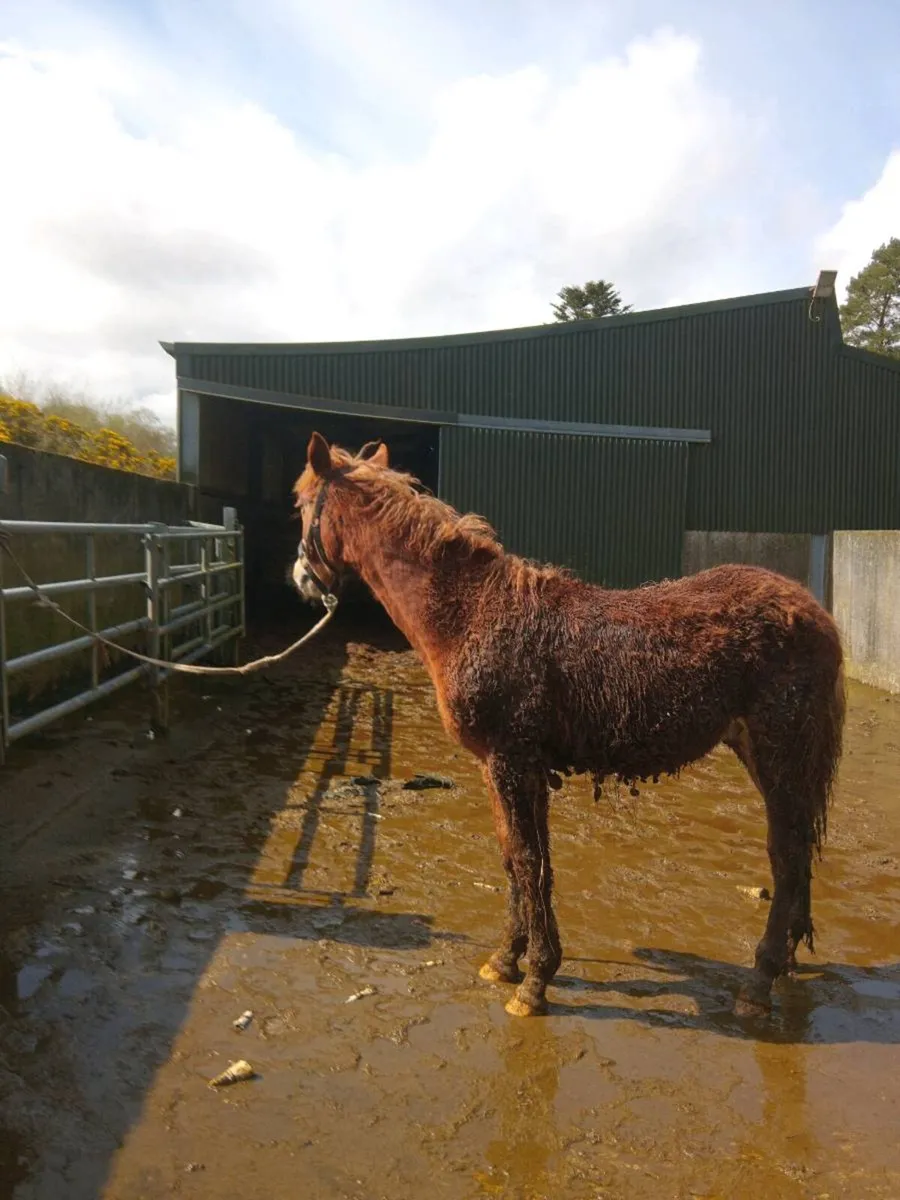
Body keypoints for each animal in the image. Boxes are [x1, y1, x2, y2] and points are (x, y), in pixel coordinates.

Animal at [291, 432, 845, 1019]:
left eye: (300, 504)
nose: (300, 578)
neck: (472, 614)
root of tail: (814, 611)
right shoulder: (512, 769)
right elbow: (519, 861)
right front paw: (507, 961)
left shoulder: (510, 763)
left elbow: (527, 859)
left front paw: (535, 981)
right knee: (798, 853)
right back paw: (787, 963)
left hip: (781, 751)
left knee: (787, 857)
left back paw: (759, 984)